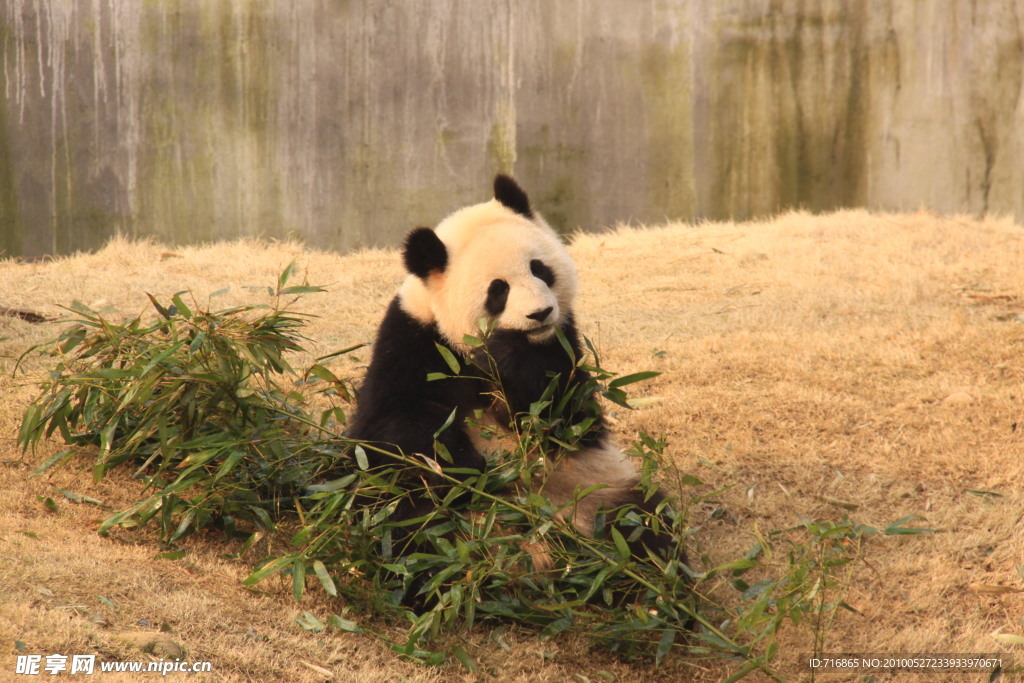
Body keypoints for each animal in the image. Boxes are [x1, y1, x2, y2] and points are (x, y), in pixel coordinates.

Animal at [348, 175, 675, 565]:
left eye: (540, 269)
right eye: (498, 290)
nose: (540, 314)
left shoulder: (564, 345)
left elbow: (566, 419)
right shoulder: (413, 342)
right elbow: (396, 425)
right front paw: (465, 468)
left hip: (599, 491)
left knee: (643, 526)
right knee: (408, 534)